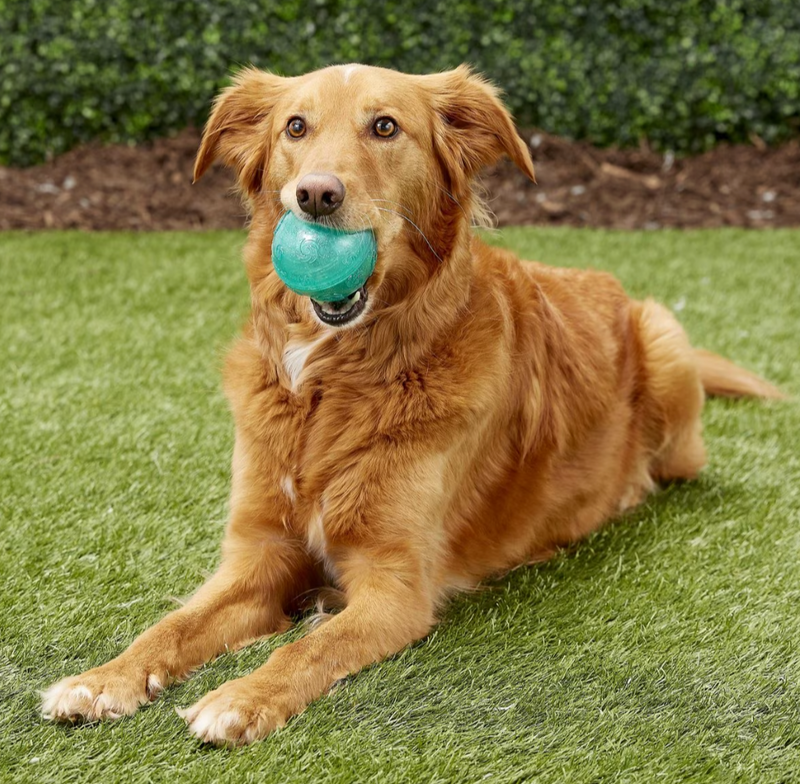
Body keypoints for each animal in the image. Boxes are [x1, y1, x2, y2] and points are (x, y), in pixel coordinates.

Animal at [40, 64, 784, 744]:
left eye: (385, 127)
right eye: (295, 127)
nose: (315, 195)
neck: (334, 379)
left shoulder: (395, 587)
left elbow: (310, 647)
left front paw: (242, 697)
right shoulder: (256, 553)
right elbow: (171, 625)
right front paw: (101, 679)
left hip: (666, 338)